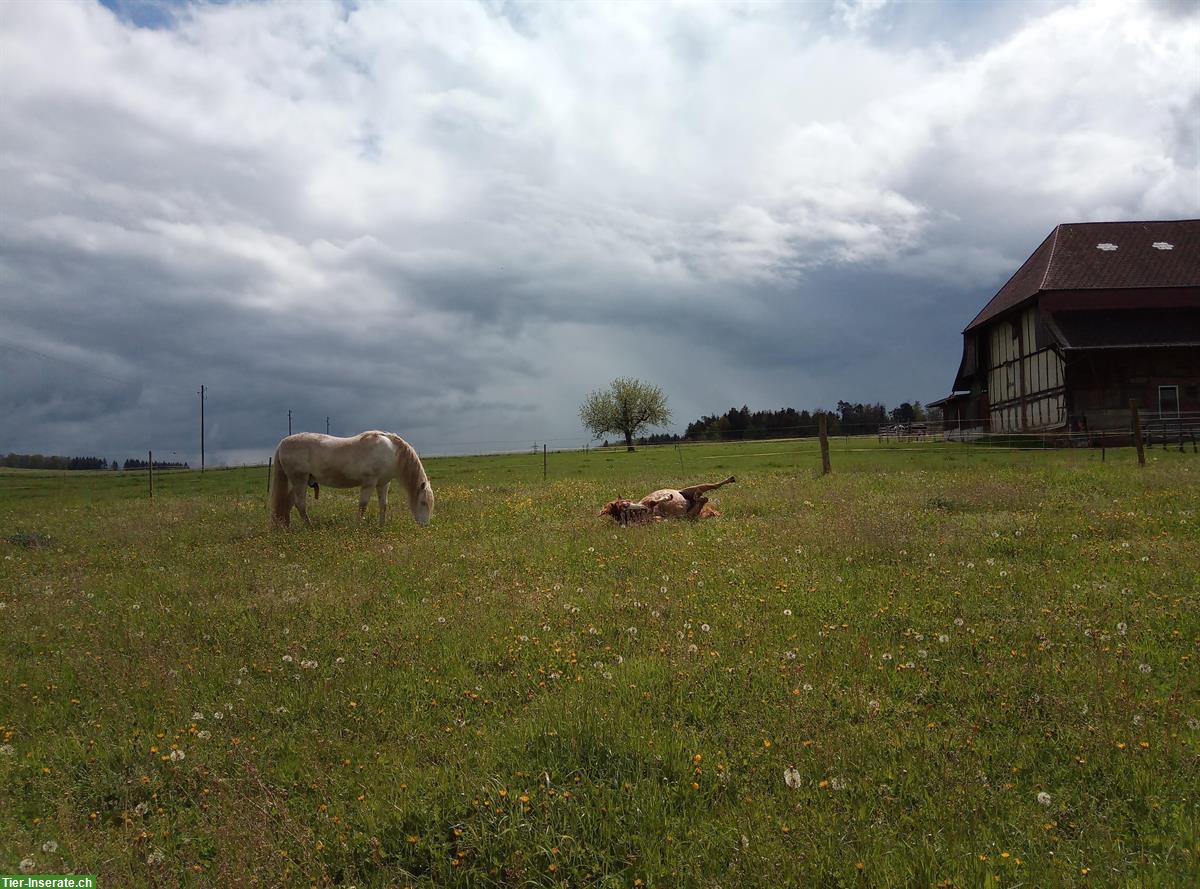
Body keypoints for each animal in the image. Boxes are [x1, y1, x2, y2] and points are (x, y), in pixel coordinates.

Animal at [270, 429, 434, 527]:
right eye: (423, 502)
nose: (425, 525)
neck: (391, 452)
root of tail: (283, 443)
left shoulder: (383, 483)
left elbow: (384, 505)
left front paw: (381, 526)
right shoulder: (369, 482)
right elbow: (363, 505)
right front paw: (357, 526)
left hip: (298, 482)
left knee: (288, 504)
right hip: (300, 480)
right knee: (300, 505)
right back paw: (310, 527)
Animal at [597, 475, 729, 523]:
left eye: (627, 501)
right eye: (624, 505)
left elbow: (654, 501)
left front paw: (666, 497)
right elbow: (655, 505)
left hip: (692, 488)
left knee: (713, 486)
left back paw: (730, 479)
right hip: (689, 514)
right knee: (704, 499)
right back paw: (698, 496)